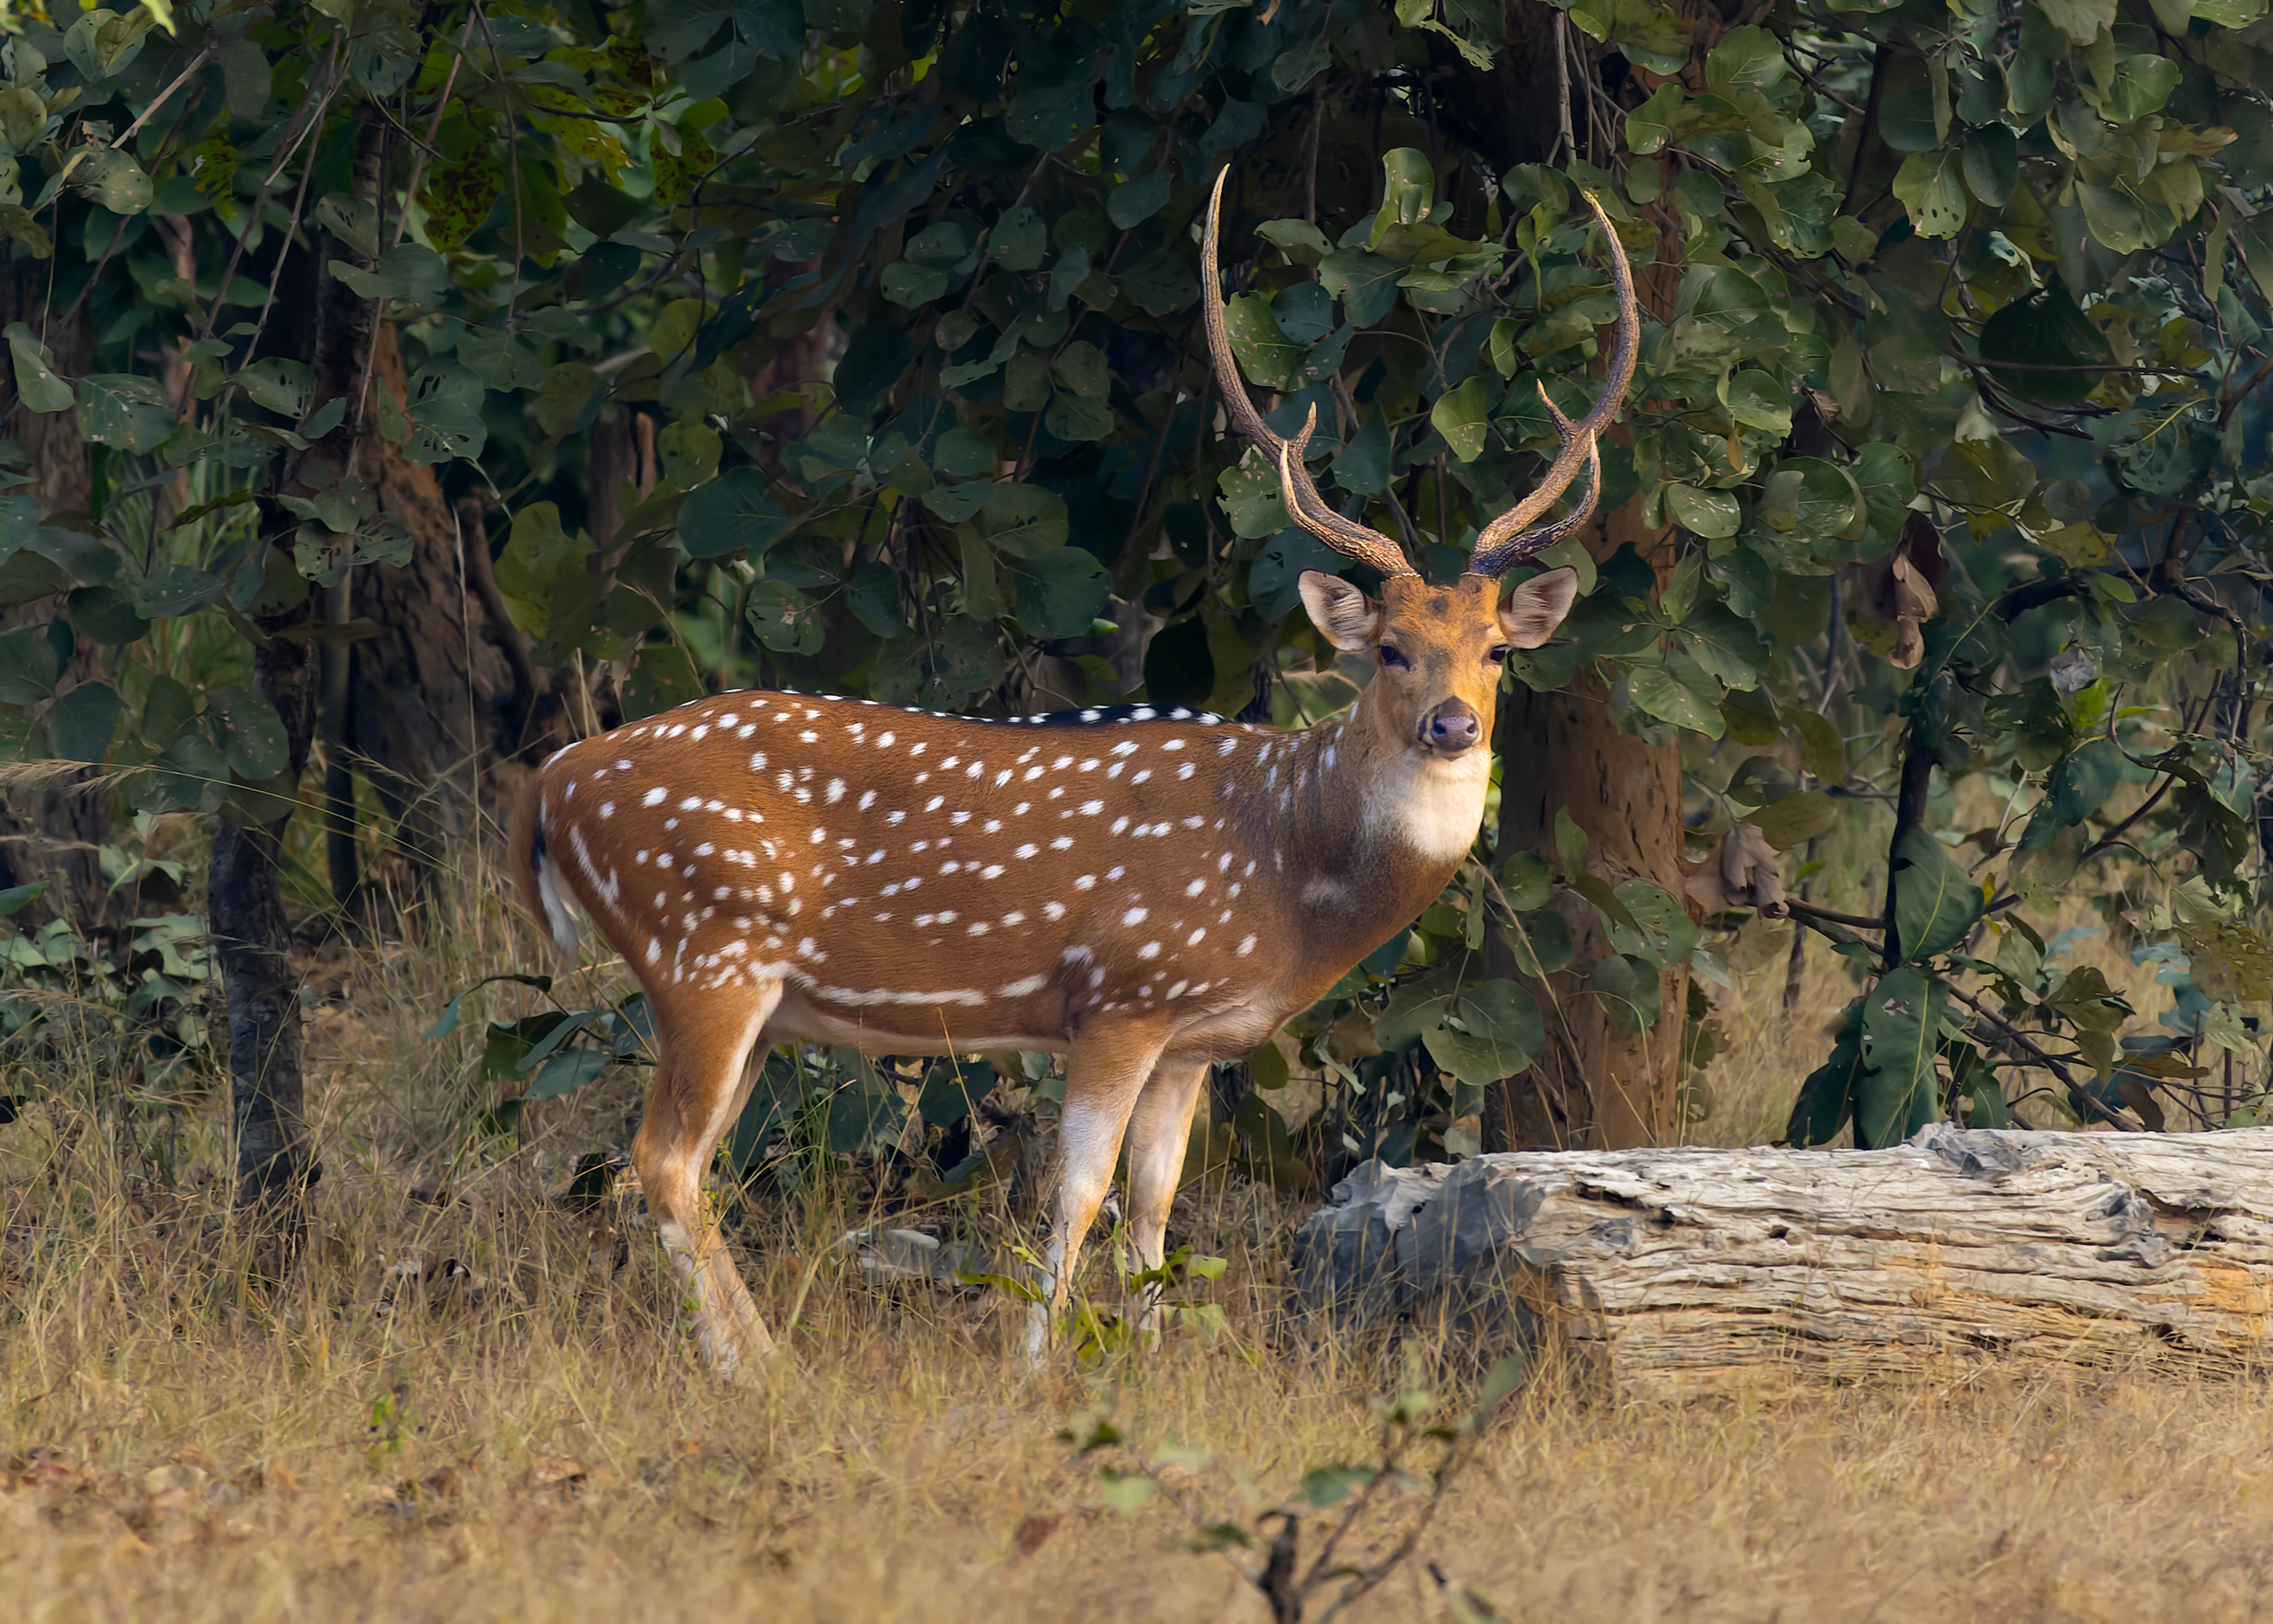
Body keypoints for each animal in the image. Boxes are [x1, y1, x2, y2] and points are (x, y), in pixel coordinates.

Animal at [507, 167, 1638, 1378]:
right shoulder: (1119, 993)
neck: (1286, 869)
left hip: (743, 992)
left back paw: (761, 1359)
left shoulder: (1193, 1038)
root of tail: (554, 782)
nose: (1451, 723)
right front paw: (1032, 1367)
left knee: (686, 1161)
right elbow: (1076, 1194)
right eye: (1387, 646)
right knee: (661, 1159)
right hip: (702, 951)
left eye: (1497, 649)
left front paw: (1146, 1360)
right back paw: (762, 1370)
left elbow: (1154, 1203)